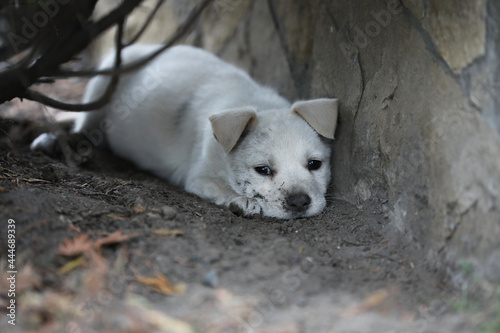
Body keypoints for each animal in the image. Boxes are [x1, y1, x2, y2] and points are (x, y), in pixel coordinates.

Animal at [32, 45, 340, 219]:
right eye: (263, 170)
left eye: (315, 164)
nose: (299, 202)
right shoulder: (198, 177)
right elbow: (223, 189)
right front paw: (243, 201)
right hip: (101, 85)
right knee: (85, 128)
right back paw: (59, 143)